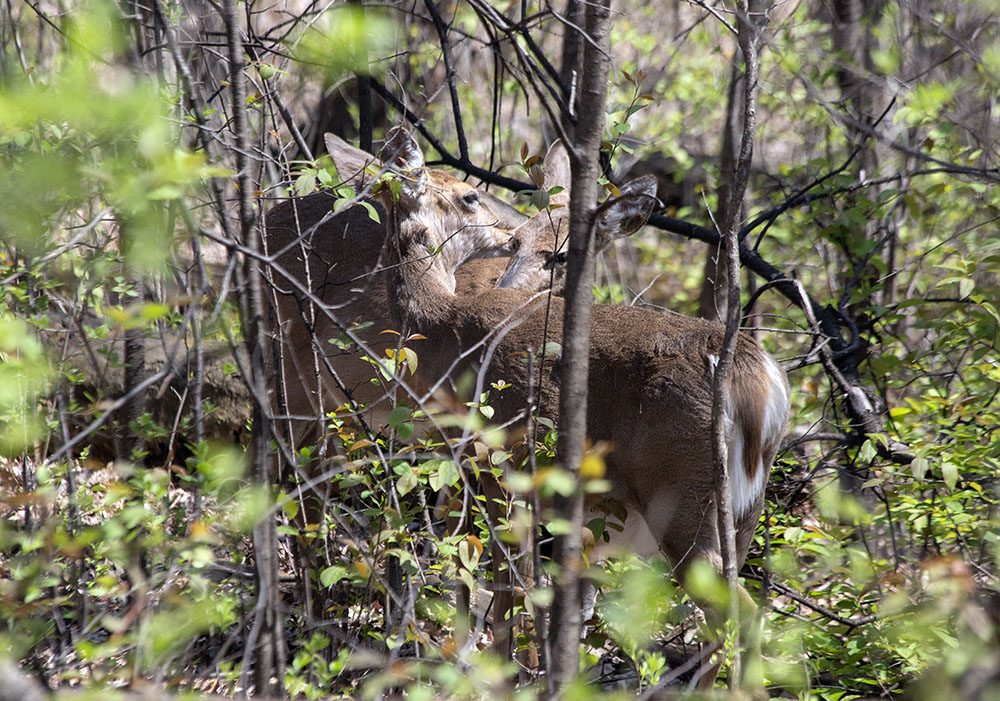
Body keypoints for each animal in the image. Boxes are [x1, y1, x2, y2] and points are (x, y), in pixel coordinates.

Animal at [372, 127, 792, 684]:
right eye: (469, 199)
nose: (503, 231)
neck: (444, 329)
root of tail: (760, 380)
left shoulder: (499, 464)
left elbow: (505, 584)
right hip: (744, 511)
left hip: (685, 493)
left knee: (739, 616)